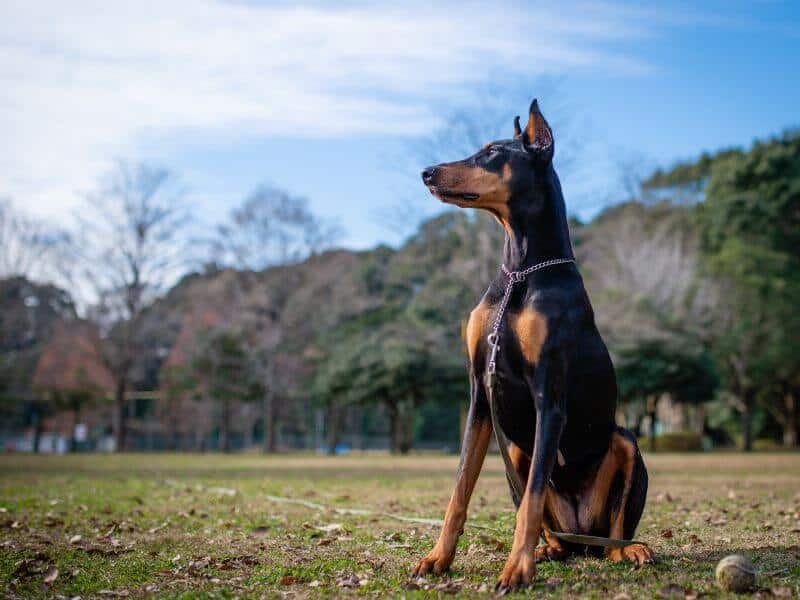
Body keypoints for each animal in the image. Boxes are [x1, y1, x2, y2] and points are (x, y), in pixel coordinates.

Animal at [416, 98, 652, 592]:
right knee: (557, 534)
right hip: (518, 452)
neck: (521, 271)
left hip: (624, 442)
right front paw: (438, 558)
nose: (427, 172)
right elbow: (459, 489)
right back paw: (550, 549)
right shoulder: (478, 394)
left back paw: (629, 550)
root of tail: (582, 534)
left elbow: (530, 500)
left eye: (490, 152)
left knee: (613, 532)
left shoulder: (550, 396)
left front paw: (516, 568)